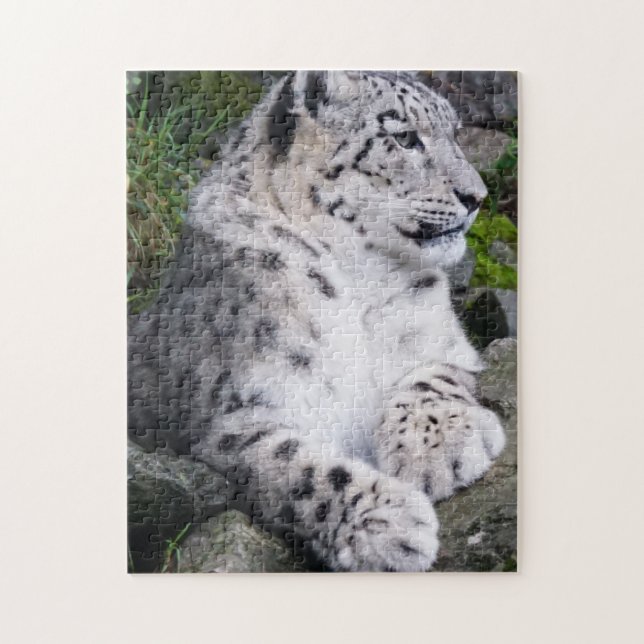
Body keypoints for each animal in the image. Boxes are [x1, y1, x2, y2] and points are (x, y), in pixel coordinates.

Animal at [128, 70, 505, 572]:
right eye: (404, 136)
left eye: (456, 135)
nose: (476, 197)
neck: (361, 281)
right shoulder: (241, 415)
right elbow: (302, 469)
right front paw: (387, 524)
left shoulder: (439, 342)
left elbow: (430, 379)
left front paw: (438, 447)